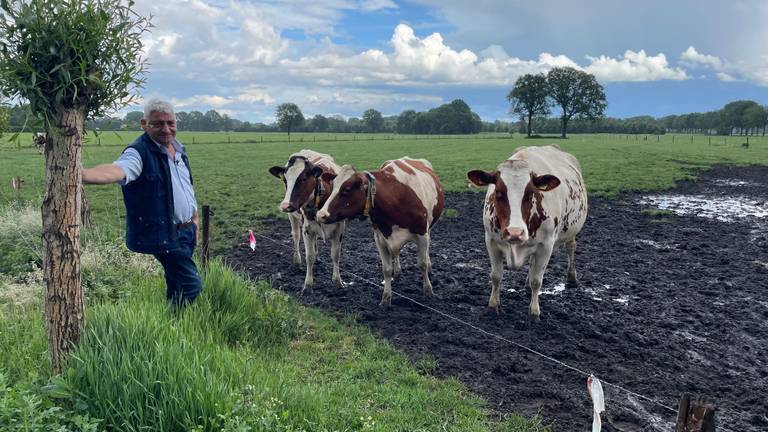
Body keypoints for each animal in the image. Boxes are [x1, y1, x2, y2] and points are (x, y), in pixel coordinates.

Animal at [268, 149, 344, 294]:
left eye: (303, 178)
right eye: (285, 180)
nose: (285, 205)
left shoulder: (339, 229)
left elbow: (336, 255)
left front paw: (337, 281)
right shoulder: (307, 229)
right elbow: (309, 257)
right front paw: (308, 285)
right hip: (293, 217)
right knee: (296, 237)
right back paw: (297, 259)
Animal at [316, 157, 444, 306]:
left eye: (346, 189)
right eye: (333, 186)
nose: (321, 214)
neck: (396, 197)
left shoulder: (422, 234)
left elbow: (422, 264)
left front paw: (428, 290)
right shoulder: (380, 238)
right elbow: (386, 270)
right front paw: (386, 298)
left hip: (429, 229)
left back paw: (429, 266)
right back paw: (398, 270)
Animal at [464, 145, 592, 318]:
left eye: (531, 193)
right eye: (498, 192)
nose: (515, 233)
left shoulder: (546, 246)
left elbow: (537, 281)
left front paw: (534, 312)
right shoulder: (491, 241)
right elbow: (496, 276)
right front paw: (493, 305)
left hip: (572, 230)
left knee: (570, 248)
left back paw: (572, 277)